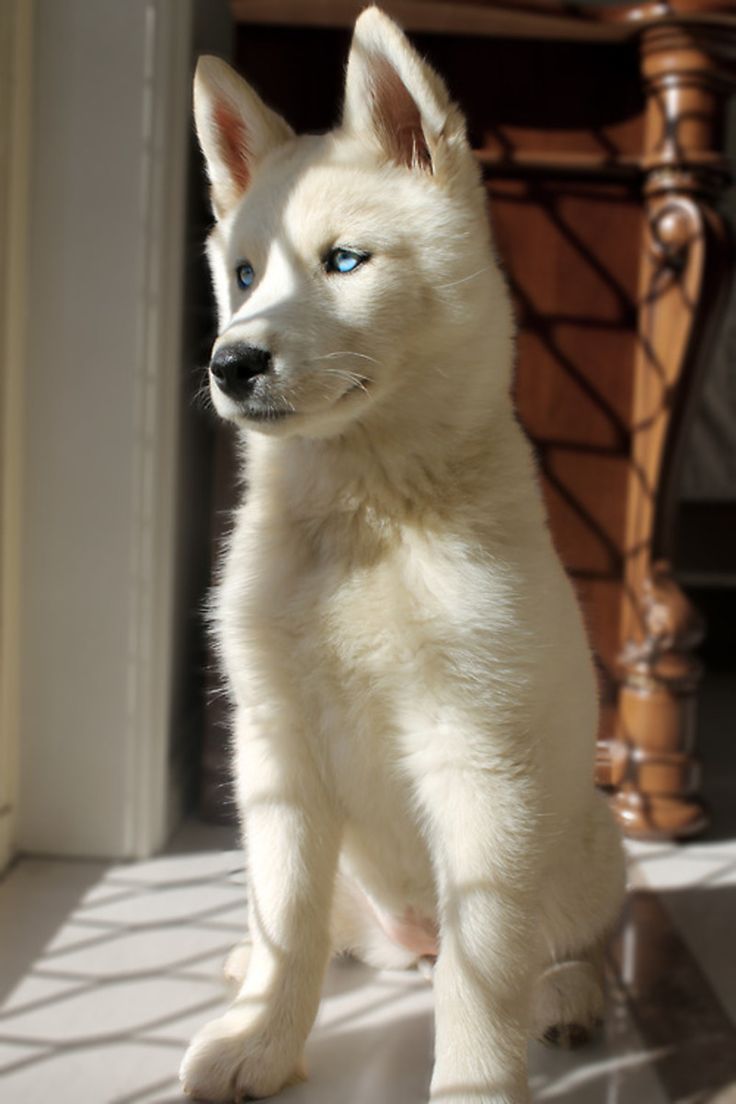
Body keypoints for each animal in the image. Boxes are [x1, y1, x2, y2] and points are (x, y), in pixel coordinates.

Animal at [180, 10, 626, 1104]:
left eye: (345, 262)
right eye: (244, 275)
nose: (229, 363)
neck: (367, 520)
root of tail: (406, 940)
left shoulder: (479, 762)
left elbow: (482, 971)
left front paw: (474, 1082)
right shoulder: (277, 748)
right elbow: (288, 924)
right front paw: (262, 1043)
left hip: (587, 838)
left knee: (567, 942)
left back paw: (569, 996)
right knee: (313, 927)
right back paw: (245, 973)